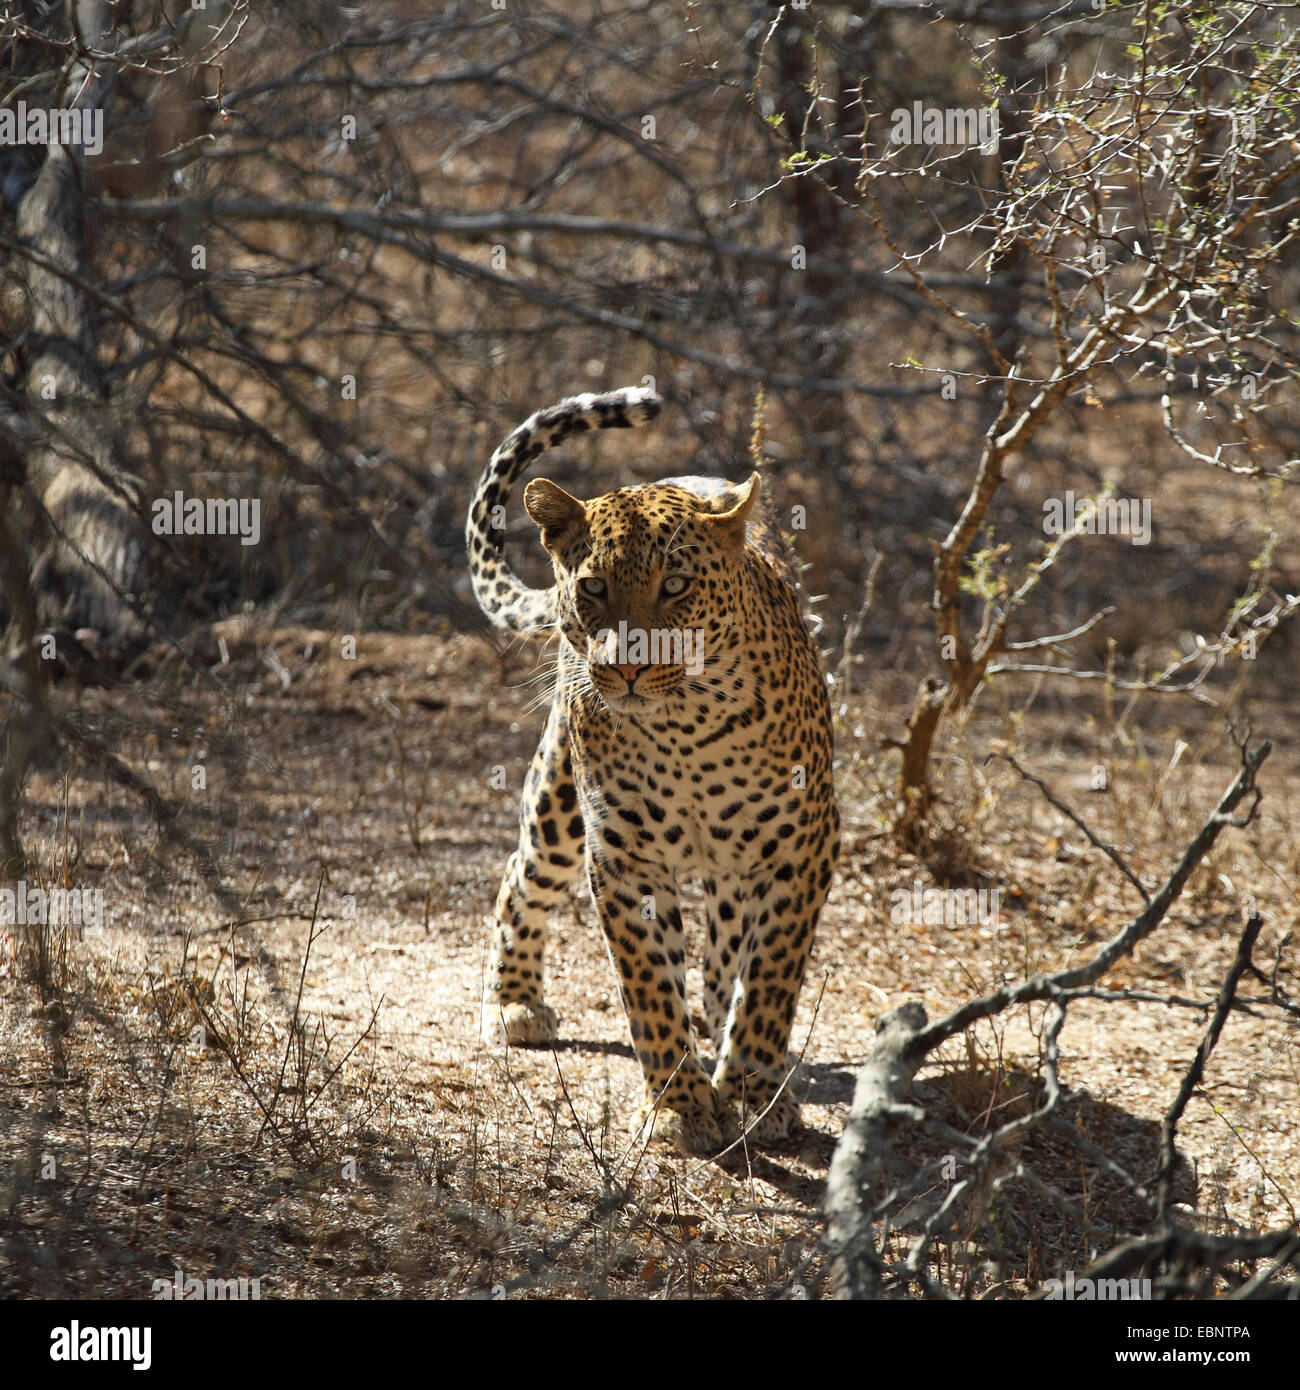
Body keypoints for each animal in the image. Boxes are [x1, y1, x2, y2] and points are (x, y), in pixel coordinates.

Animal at [469, 386, 845, 1156]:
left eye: (675, 585)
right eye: (593, 587)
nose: (628, 668)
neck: (687, 730)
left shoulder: (800, 850)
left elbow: (769, 980)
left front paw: (755, 1092)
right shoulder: (626, 858)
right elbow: (648, 986)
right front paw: (681, 1107)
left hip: (736, 864)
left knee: (727, 952)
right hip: (558, 804)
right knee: (521, 877)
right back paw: (515, 1002)